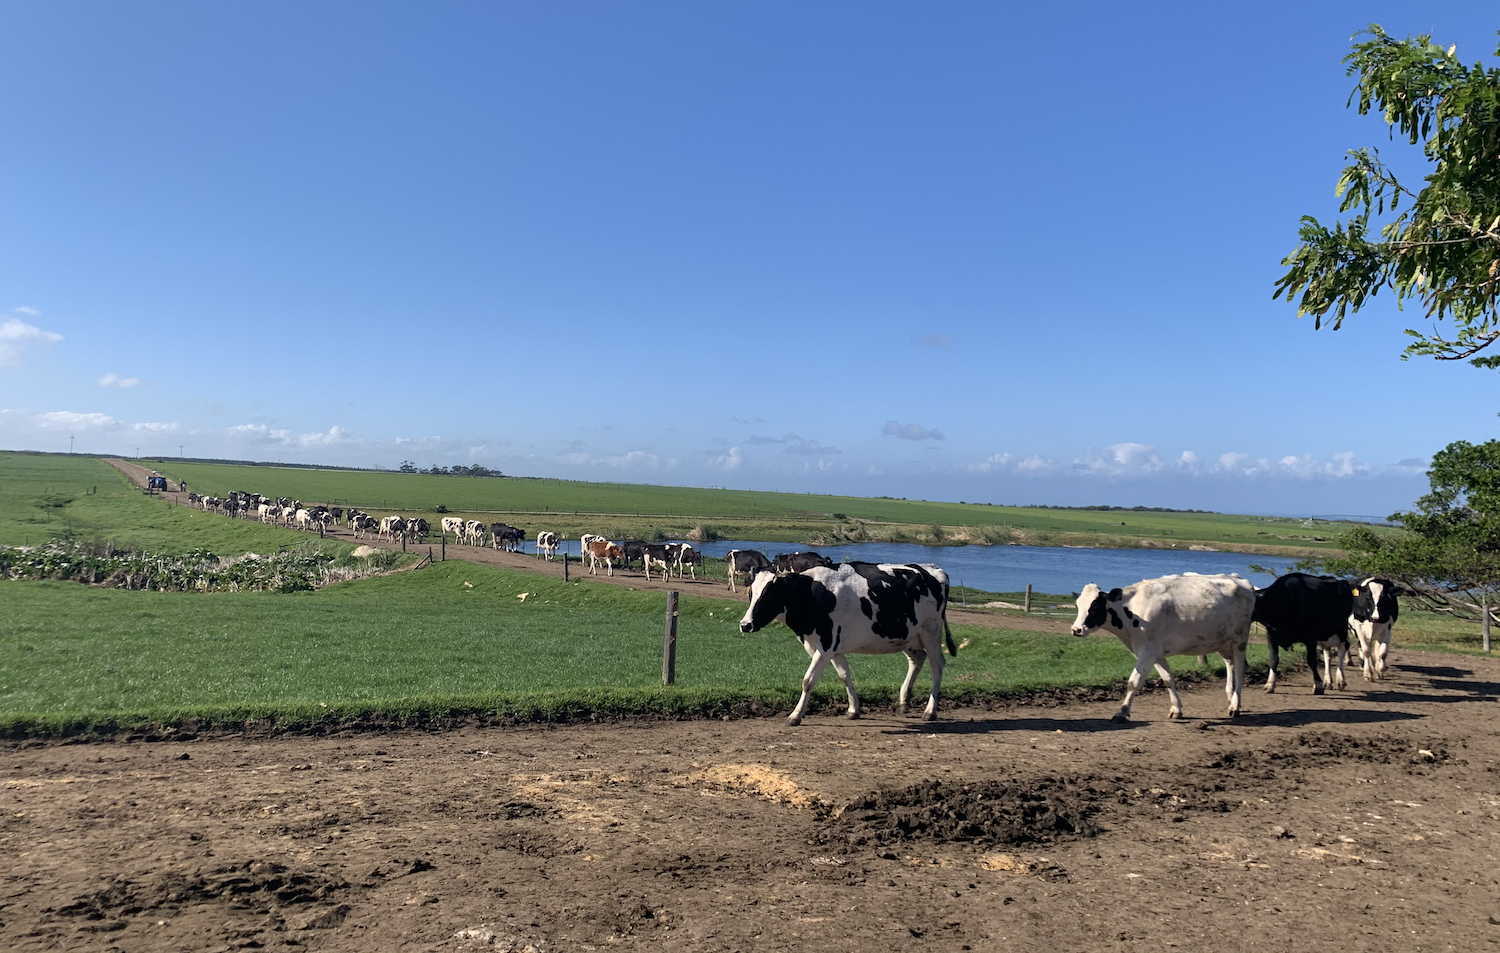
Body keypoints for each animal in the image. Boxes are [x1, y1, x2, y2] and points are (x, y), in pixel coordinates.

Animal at [1068, 573, 1254, 723]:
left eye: (1095, 606)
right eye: (1078, 605)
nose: (1076, 629)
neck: (1133, 612)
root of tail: (1238, 579)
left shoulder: (1147, 653)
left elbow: (1133, 682)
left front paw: (1122, 713)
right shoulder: (1154, 653)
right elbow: (1167, 679)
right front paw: (1176, 709)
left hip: (1240, 641)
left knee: (1240, 671)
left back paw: (1235, 706)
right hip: (1223, 643)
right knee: (1230, 665)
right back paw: (1231, 698)